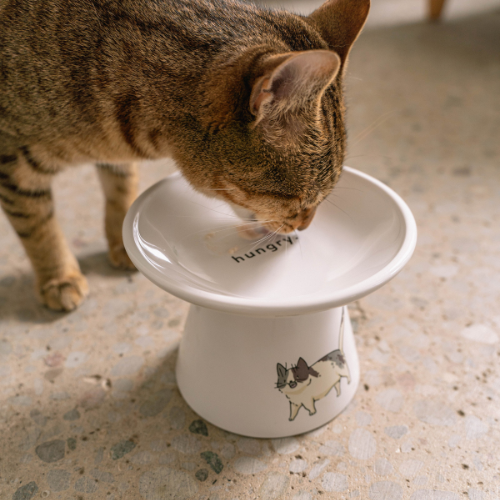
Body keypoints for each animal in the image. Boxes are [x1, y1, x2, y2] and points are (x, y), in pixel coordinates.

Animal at [0, 0, 368, 310]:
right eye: (300, 202)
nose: (305, 226)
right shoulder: (14, 164)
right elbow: (38, 226)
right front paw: (59, 277)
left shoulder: (114, 159)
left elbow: (121, 187)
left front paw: (120, 243)